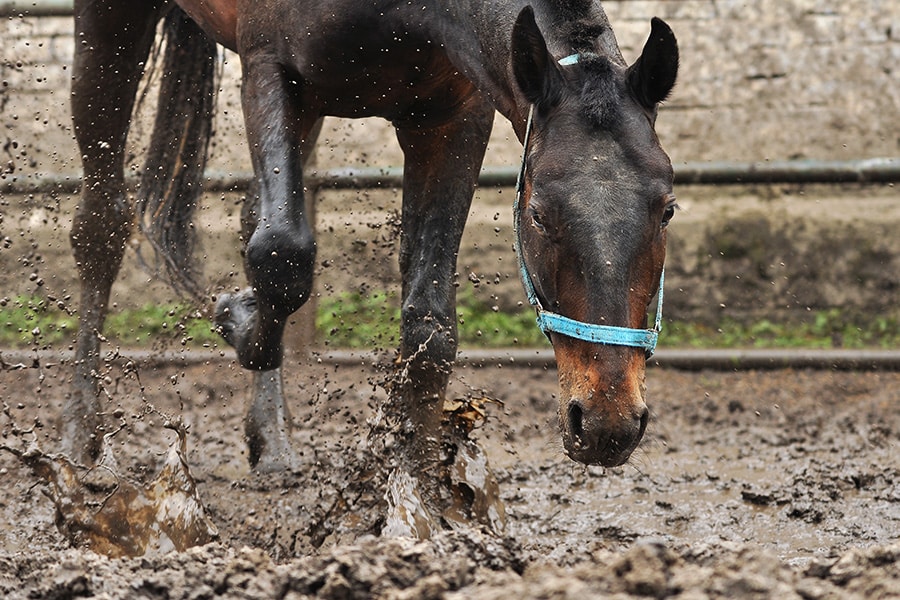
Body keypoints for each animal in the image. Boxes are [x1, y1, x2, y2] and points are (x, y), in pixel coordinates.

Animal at [65, 0, 676, 480]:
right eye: (540, 215)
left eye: (667, 210)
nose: (608, 420)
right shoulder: (270, 70)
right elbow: (282, 256)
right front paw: (234, 318)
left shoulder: (452, 115)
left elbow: (429, 326)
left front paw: (415, 502)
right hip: (113, 23)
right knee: (102, 225)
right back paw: (82, 438)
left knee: (249, 219)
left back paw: (272, 440)